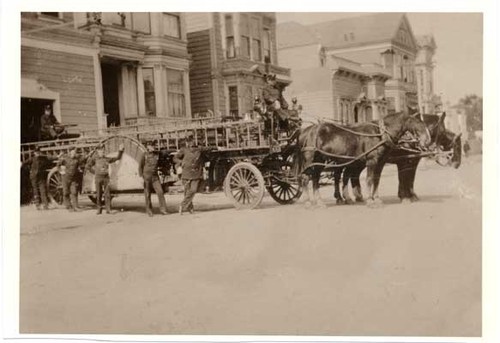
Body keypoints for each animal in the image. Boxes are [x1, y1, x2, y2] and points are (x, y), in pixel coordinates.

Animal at [294, 111, 432, 208]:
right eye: (419, 123)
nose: (427, 141)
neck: (380, 133)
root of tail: (305, 131)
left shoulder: (380, 162)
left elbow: (376, 180)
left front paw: (377, 199)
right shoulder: (372, 161)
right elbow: (370, 180)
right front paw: (370, 201)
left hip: (320, 160)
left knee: (316, 178)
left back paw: (320, 201)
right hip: (310, 159)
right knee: (306, 178)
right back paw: (308, 202)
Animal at [334, 112, 462, 204]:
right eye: (457, 146)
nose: (457, 164)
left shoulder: (412, 162)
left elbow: (410, 178)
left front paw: (411, 195)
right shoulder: (403, 162)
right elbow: (404, 178)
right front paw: (405, 197)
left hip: (358, 162)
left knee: (351, 175)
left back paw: (357, 196)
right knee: (341, 175)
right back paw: (342, 197)